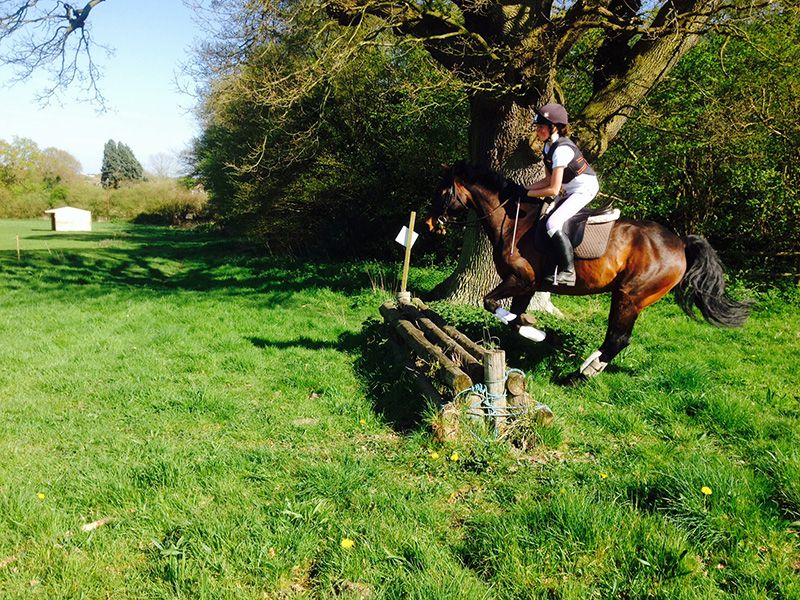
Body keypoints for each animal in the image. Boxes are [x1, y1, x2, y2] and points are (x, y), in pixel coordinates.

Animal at [425, 160, 753, 383]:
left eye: (442, 191)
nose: (429, 223)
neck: (515, 220)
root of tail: (680, 242)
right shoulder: (526, 286)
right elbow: (513, 317)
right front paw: (540, 334)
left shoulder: (520, 279)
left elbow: (490, 303)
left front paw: (541, 334)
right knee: (616, 338)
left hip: (629, 296)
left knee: (618, 339)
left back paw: (580, 374)